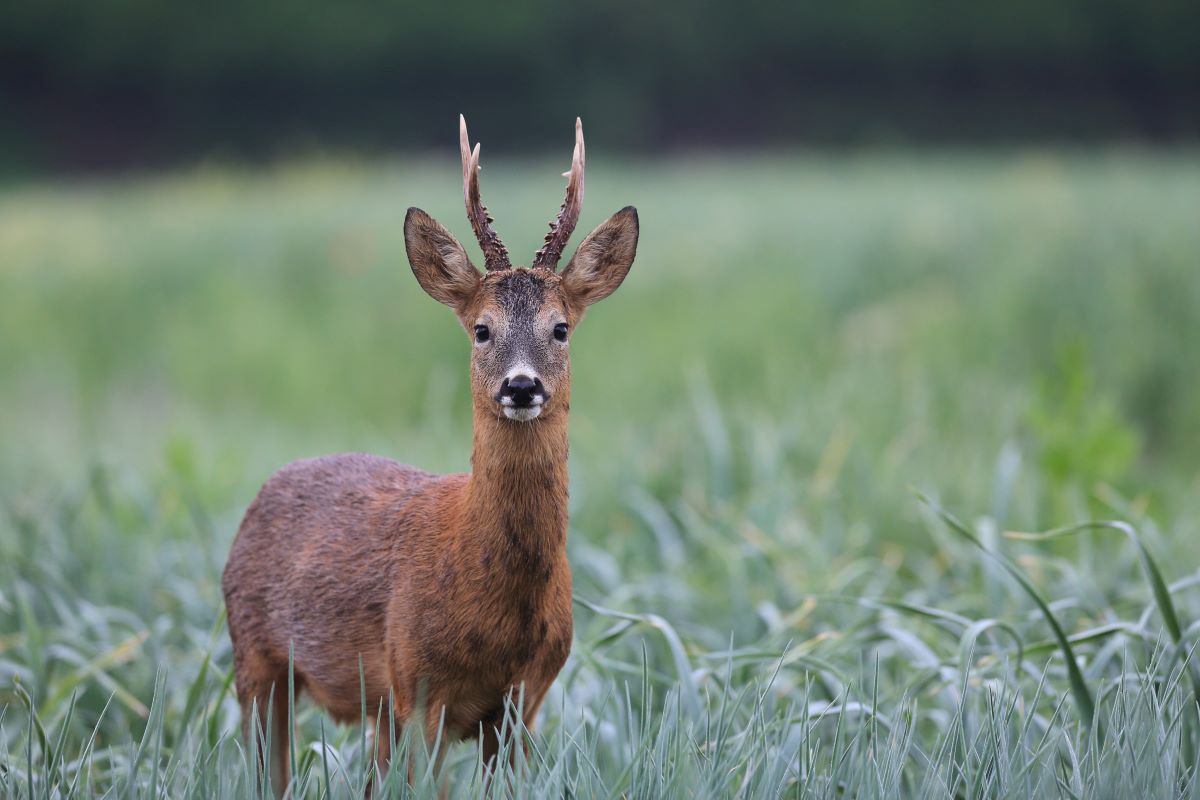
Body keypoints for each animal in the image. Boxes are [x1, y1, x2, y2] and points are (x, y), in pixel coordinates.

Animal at [223, 115, 638, 791]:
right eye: (481, 328)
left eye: (560, 327)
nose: (521, 386)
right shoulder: (417, 682)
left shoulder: (527, 697)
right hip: (256, 658)